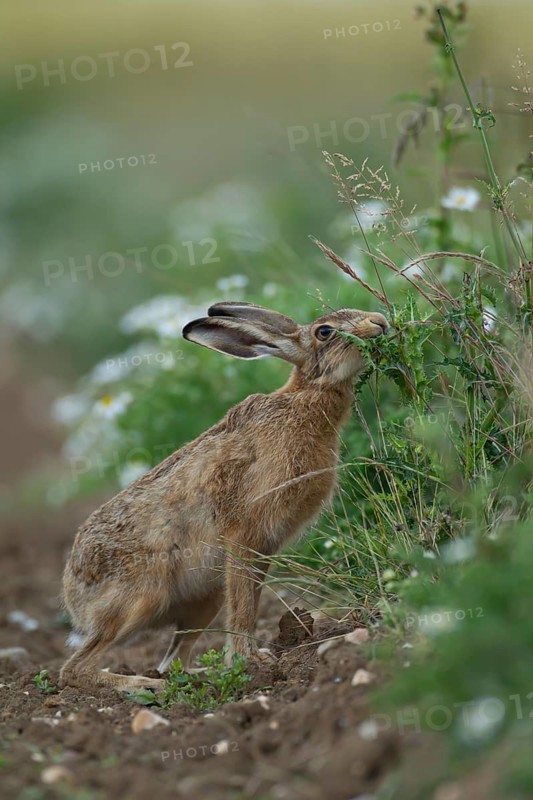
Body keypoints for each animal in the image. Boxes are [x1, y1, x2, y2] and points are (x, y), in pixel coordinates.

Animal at [59, 301, 389, 691]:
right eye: (324, 332)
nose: (380, 322)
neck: (302, 399)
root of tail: (73, 597)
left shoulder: (264, 547)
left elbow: (251, 599)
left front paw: (248, 661)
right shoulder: (244, 536)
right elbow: (245, 605)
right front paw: (251, 662)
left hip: (207, 599)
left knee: (173, 658)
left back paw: (196, 677)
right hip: (140, 599)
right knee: (74, 670)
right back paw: (141, 684)